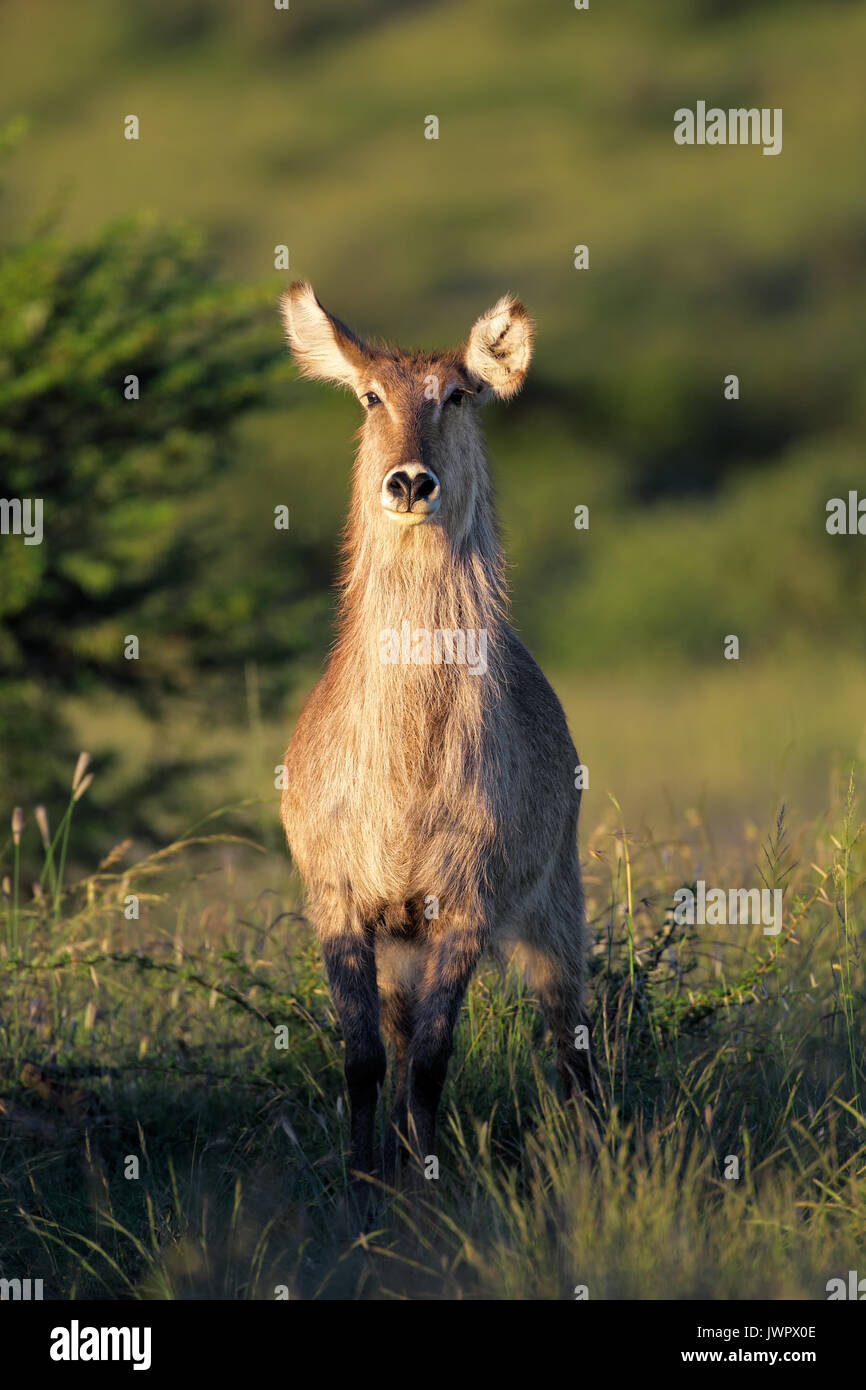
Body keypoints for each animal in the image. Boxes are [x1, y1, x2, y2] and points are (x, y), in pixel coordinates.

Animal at [280, 284, 592, 1195]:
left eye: (456, 395)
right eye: (368, 396)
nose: (412, 481)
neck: (407, 763)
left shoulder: (466, 904)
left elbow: (430, 1062)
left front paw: (427, 1190)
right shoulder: (341, 902)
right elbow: (364, 1062)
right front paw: (364, 1187)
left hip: (555, 907)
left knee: (570, 1036)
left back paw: (599, 1152)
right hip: (401, 942)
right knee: (395, 1035)